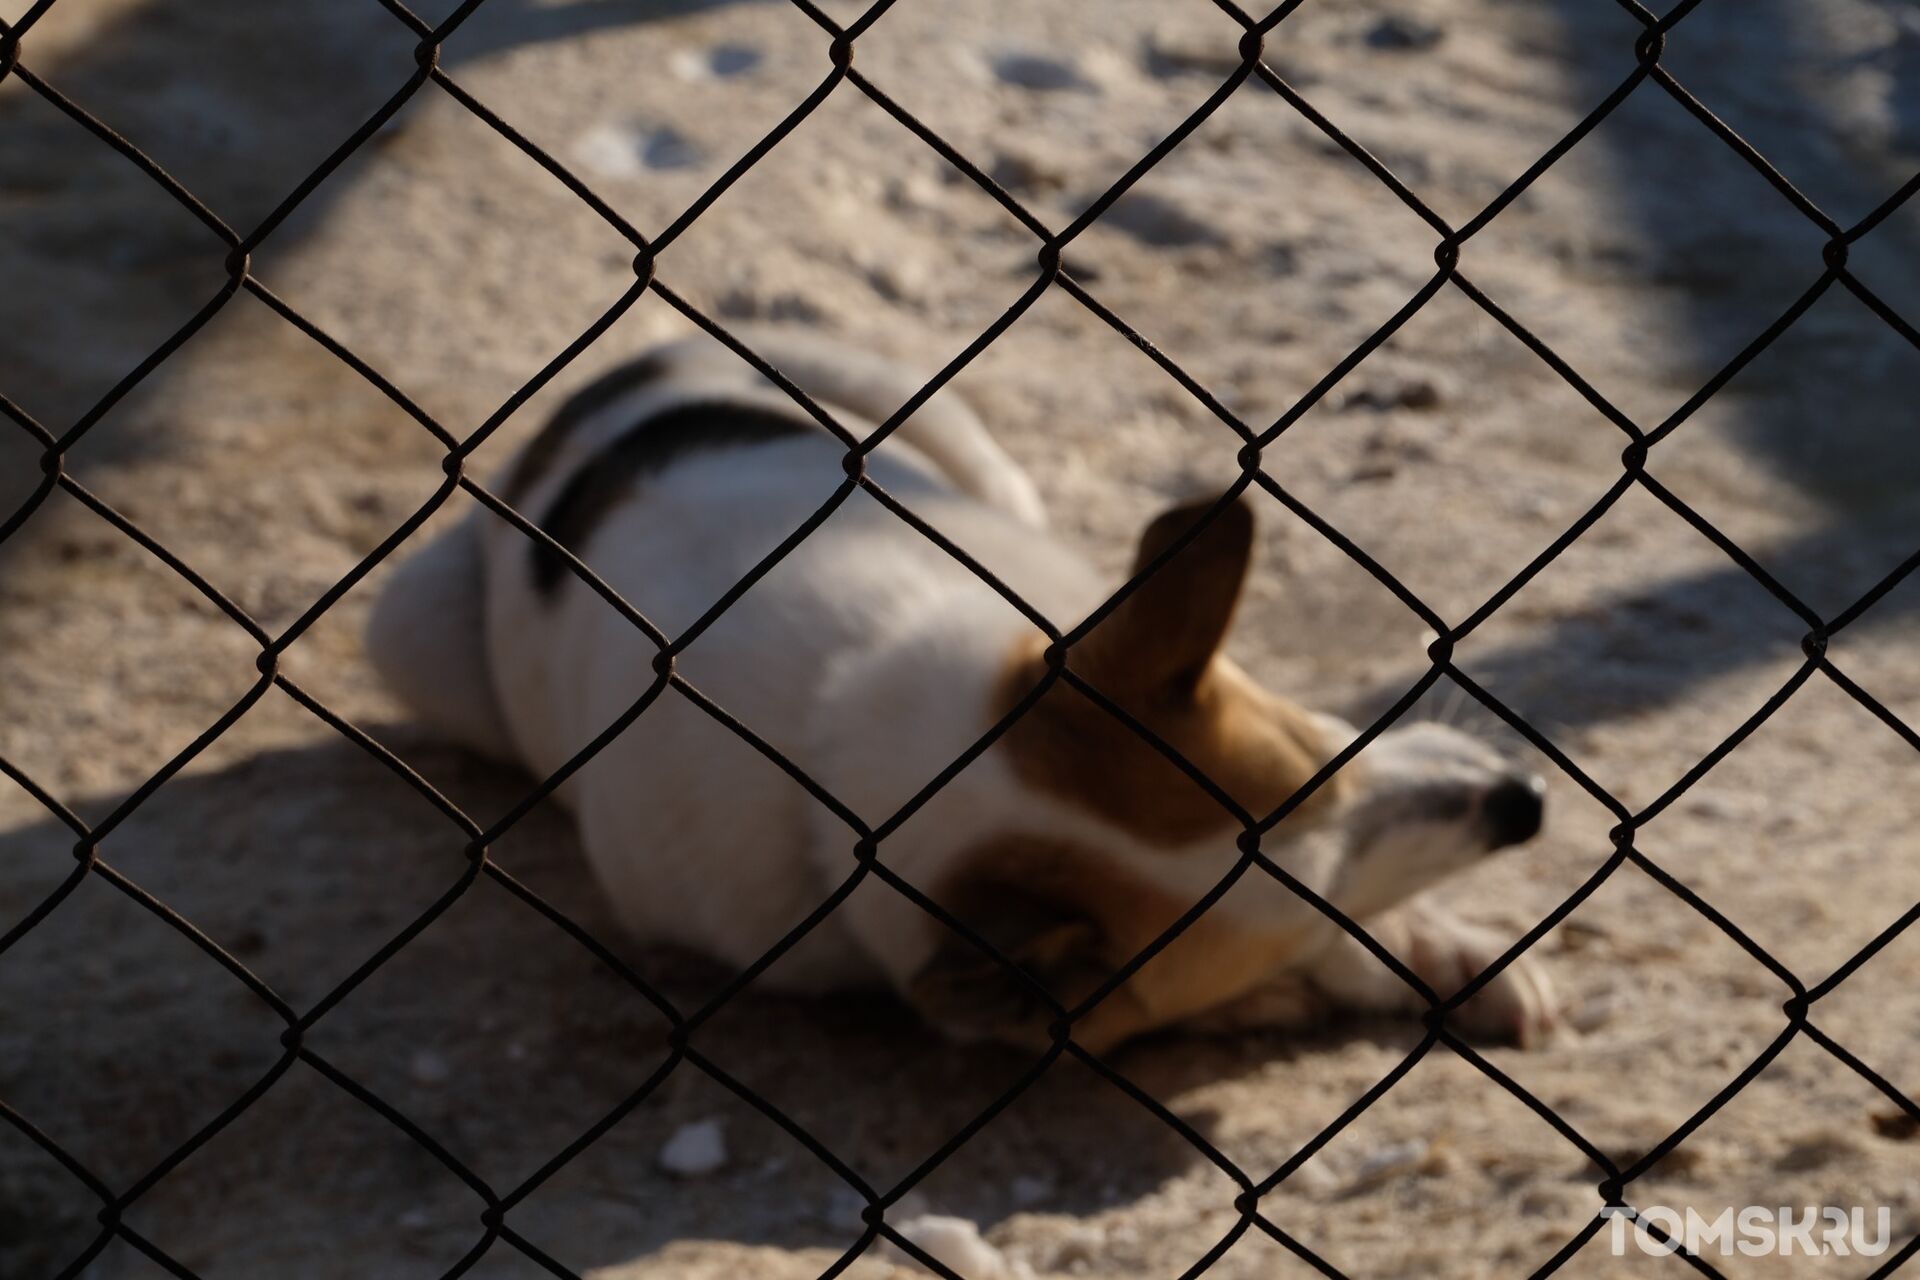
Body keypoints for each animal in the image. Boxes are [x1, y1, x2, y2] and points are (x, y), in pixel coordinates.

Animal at [362, 335, 1559, 1059]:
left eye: (1321, 744)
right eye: (1309, 908)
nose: (1525, 804)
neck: (849, 745)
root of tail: (590, 394)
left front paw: (1448, 947)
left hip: (936, 428)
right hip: (406, 630)